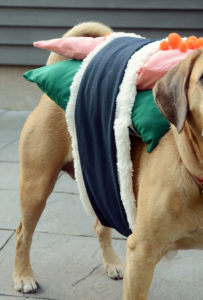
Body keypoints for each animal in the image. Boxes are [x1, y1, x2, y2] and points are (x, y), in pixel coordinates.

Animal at [13, 21, 202, 300]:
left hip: (101, 184)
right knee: (22, 233)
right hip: (36, 186)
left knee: (101, 223)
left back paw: (111, 263)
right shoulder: (142, 253)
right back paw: (23, 275)